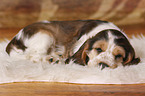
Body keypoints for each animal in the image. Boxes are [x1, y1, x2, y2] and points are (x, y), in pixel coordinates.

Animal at [5, 19, 140, 69]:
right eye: (98, 49)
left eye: (119, 56)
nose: (103, 65)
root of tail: (14, 39)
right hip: (45, 36)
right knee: (33, 56)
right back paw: (52, 59)